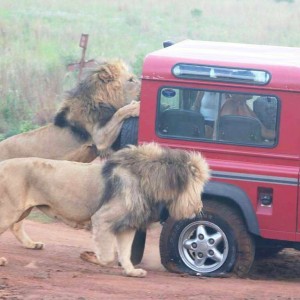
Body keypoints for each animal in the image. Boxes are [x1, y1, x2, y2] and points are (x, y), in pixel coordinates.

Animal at [0, 58, 141, 251]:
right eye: (131, 80)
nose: (143, 87)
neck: (101, 98)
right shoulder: (100, 137)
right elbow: (121, 111)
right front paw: (136, 106)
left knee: (16, 224)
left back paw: (32, 244)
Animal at [0, 142, 210, 276]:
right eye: (198, 187)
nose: (200, 206)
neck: (148, 182)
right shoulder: (102, 218)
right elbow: (108, 256)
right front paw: (89, 256)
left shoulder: (127, 225)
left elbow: (125, 253)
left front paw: (132, 271)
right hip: (10, 210)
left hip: (22, 209)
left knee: (17, 226)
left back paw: (32, 244)